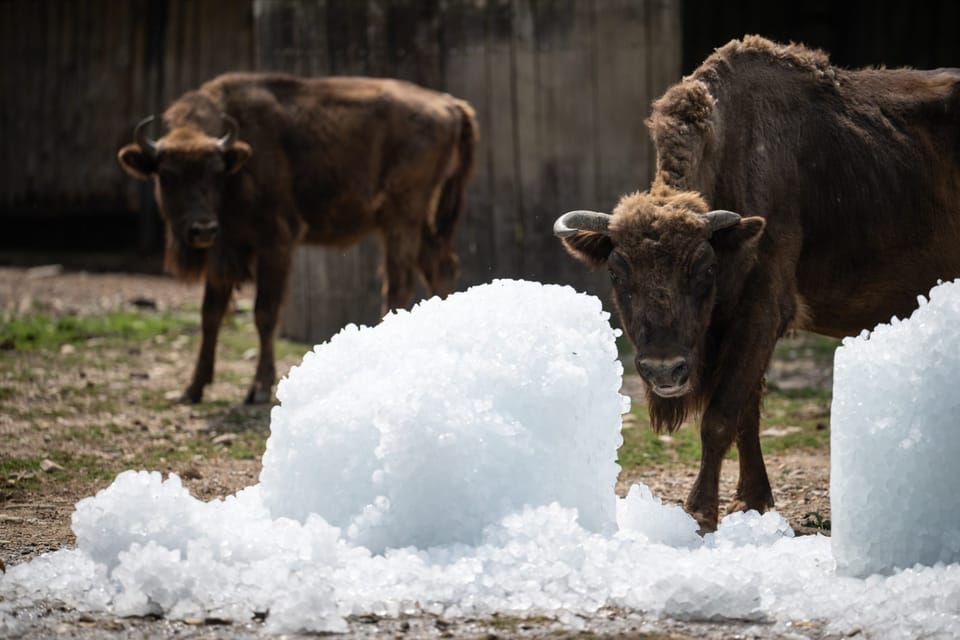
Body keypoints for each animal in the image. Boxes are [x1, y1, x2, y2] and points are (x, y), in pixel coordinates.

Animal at [120, 72, 480, 402]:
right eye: (167, 175)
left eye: (216, 172)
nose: (202, 227)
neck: (239, 161)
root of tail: (450, 104)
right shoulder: (224, 251)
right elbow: (210, 314)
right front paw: (192, 389)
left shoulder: (275, 244)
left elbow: (264, 313)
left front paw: (259, 389)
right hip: (415, 223)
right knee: (438, 269)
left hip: (401, 218)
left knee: (398, 287)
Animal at [552, 37, 960, 532]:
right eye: (616, 272)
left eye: (704, 269)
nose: (664, 370)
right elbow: (747, 414)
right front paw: (751, 501)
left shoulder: (763, 314)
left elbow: (721, 415)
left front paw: (700, 512)